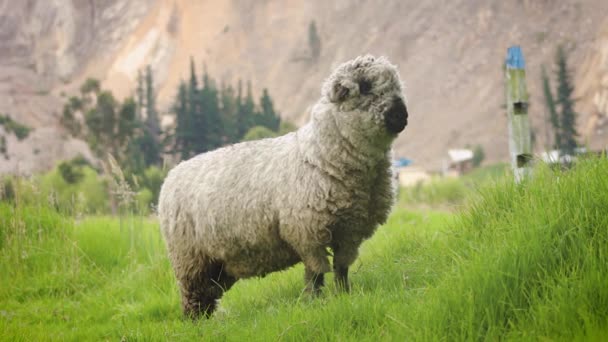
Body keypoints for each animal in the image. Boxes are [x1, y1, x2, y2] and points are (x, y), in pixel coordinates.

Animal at [159, 53, 410, 318]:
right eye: (364, 87)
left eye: (395, 85)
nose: (401, 114)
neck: (320, 154)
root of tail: (172, 174)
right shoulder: (307, 232)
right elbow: (316, 272)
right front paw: (313, 301)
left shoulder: (350, 230)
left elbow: (341, 269)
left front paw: (344, 296)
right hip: (189, 259)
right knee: (193, 297)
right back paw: (197, 323)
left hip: (218, 263)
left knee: (207, 295)